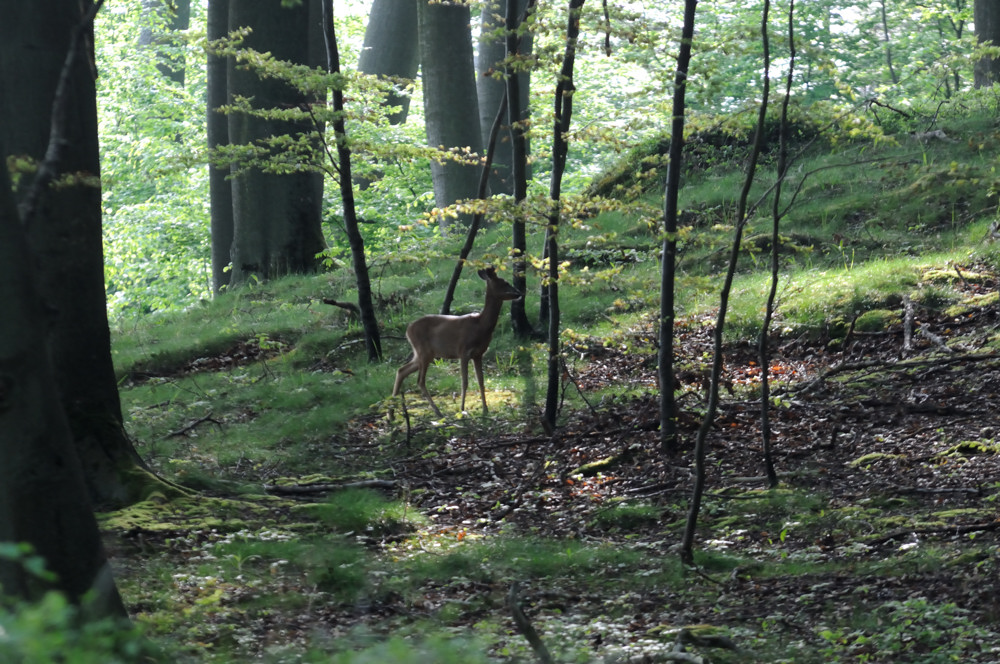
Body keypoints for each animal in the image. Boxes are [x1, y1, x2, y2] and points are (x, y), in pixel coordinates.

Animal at [392, 267, 522, 416]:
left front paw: (485, 409)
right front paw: (462, 408)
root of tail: (408, 330)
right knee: (420, 381)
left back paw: (392, 409)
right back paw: (437, 411)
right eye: (505, 283)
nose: (519, 293)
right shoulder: (463, 351)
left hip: (423, 354)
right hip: (423, 351)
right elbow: (464, 382)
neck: (481, 325)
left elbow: (481, 381)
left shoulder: (478, 354)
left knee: (402, 370)